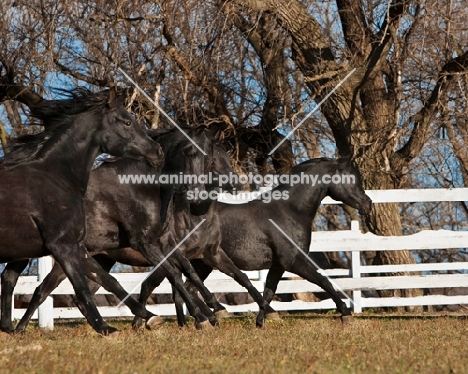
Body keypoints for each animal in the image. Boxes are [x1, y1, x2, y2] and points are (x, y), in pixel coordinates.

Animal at [0, 88, 165, 336]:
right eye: (127, 121)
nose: (158, 152)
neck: (56, 179)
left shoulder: (78, 246)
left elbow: (109, 281)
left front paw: (151, 317)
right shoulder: (63, 246)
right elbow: (82, 287)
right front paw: (105, 327)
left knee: (9, 278)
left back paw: (10, 328)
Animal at [7, 124, 239, 332]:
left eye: (208, 158)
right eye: (191, 152)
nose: (235, 183)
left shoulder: (168, 244)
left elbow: (188, 272)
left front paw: (214, 311)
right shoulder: (145, 243)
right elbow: (174, 274)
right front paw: (202, 317)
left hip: (94, 257)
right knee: (37, 287)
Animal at [133, 158, 372, 328]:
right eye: (351, 179)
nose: (367, 204)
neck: (289, 211)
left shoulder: (278, 265)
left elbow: (269, 290)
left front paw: (261, 321)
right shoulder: (294, 261)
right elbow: (324, 281)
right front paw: (345, 313)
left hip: (202, 264)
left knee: (187, 289)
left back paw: (192, 322)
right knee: (151, 285)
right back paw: (144, 323)